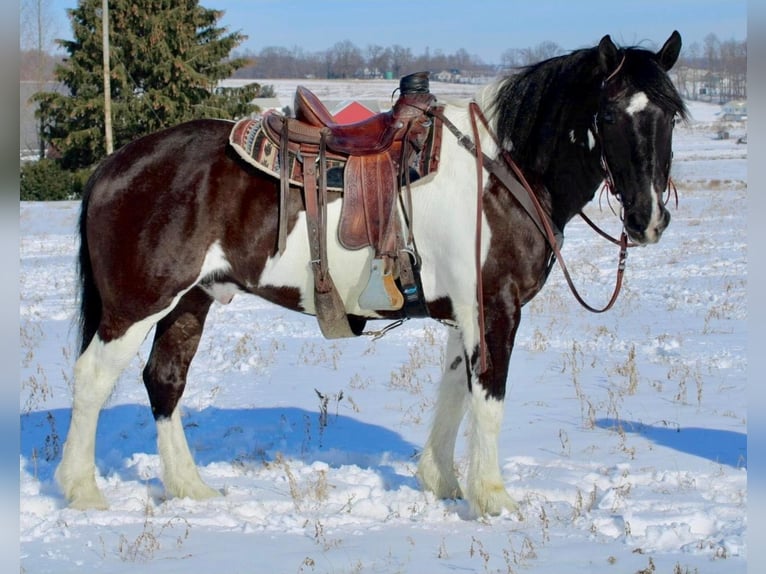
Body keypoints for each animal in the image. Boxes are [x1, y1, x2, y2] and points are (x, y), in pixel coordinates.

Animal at [57, 31, 688, 516]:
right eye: (608, 113)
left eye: (672, 116)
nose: (648, 217)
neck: (502, 171)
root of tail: (113, 165)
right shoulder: (494, 307)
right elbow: (488, 400)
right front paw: (493, 498)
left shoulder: (464, 314)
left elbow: (454, 392)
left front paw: (443, 483)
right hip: (139, 303)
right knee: (92, 378)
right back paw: (83, 489)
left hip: (191, 301)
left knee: (164, 380)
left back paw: (190, 487)